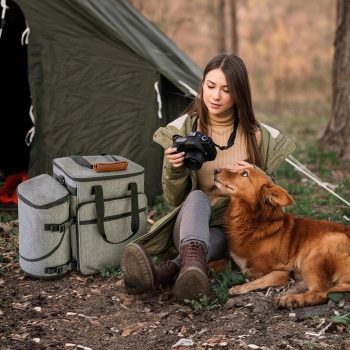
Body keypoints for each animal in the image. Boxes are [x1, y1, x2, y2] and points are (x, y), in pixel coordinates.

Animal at [213, 166, 350, 306]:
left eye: (244, 174)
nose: (215, 170)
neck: (252, 222)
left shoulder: (271, 270)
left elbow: (260, 277)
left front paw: (238, 288)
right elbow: (217, 263)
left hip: (313, 256)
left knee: (321, 292)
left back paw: (291, 299)